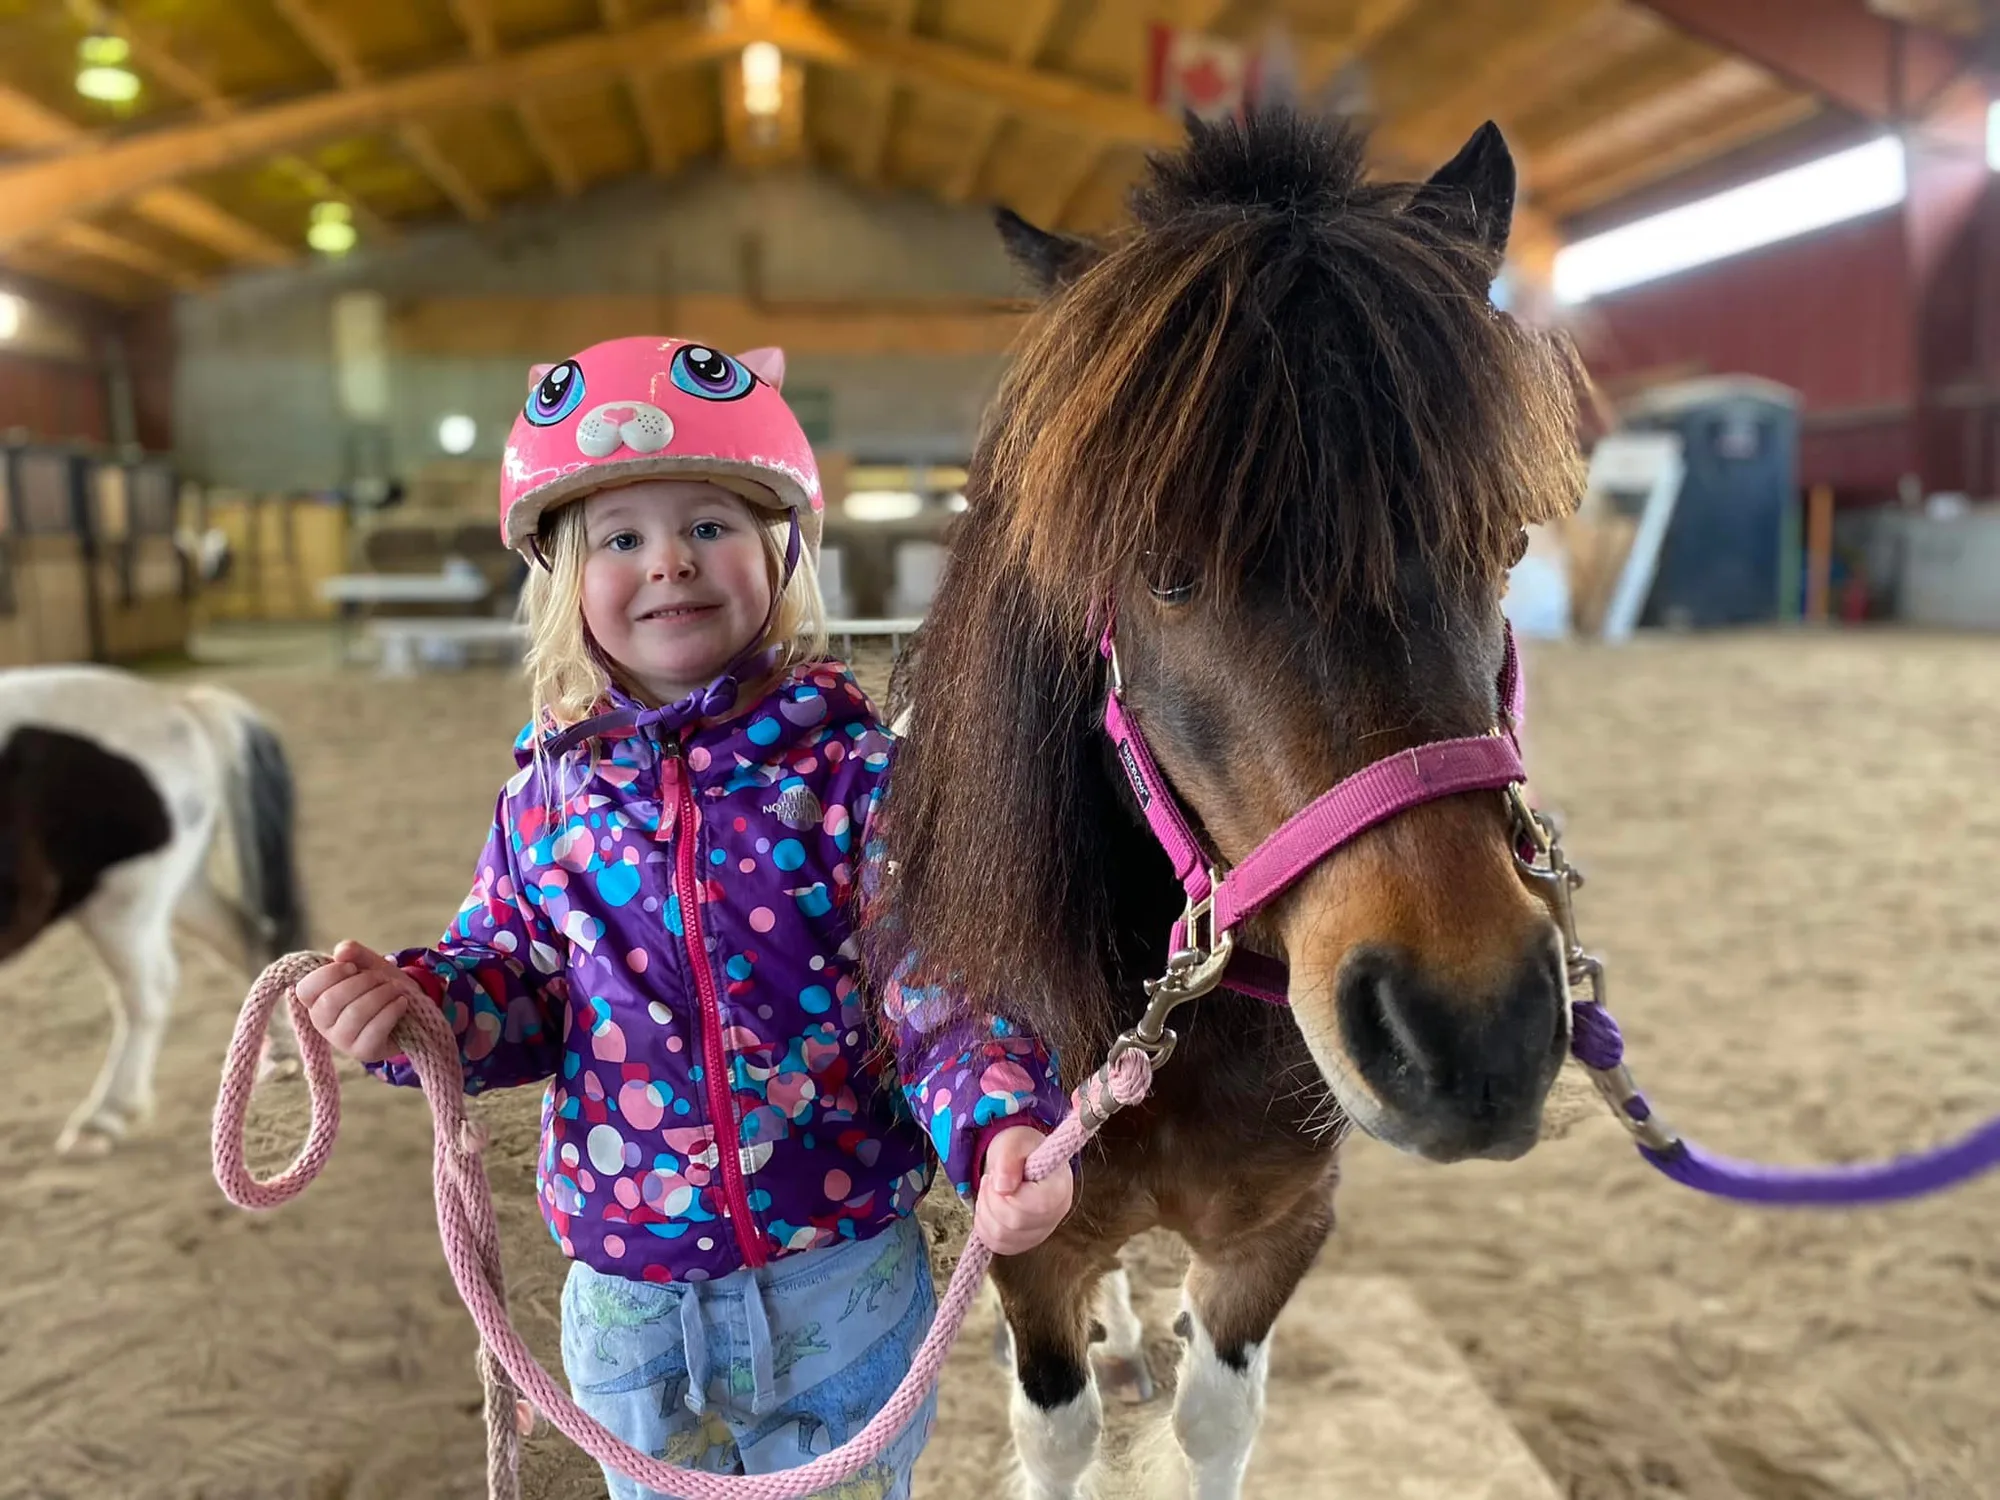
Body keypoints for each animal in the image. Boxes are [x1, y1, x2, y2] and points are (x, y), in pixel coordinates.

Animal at [0, 664, 307, 1155]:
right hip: (179, 892)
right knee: (244, 938)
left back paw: (105, 1115)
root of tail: (180, 705)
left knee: (147, 993)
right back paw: (281, 1054)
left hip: (121, 902)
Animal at [868, 110, 1586, 1498]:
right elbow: (1055, 1429)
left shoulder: (1274, 1234)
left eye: (1506, 546)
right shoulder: (1026, 1244)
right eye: (1159, 570)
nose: (1471, 1033)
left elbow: (1217, 1418)